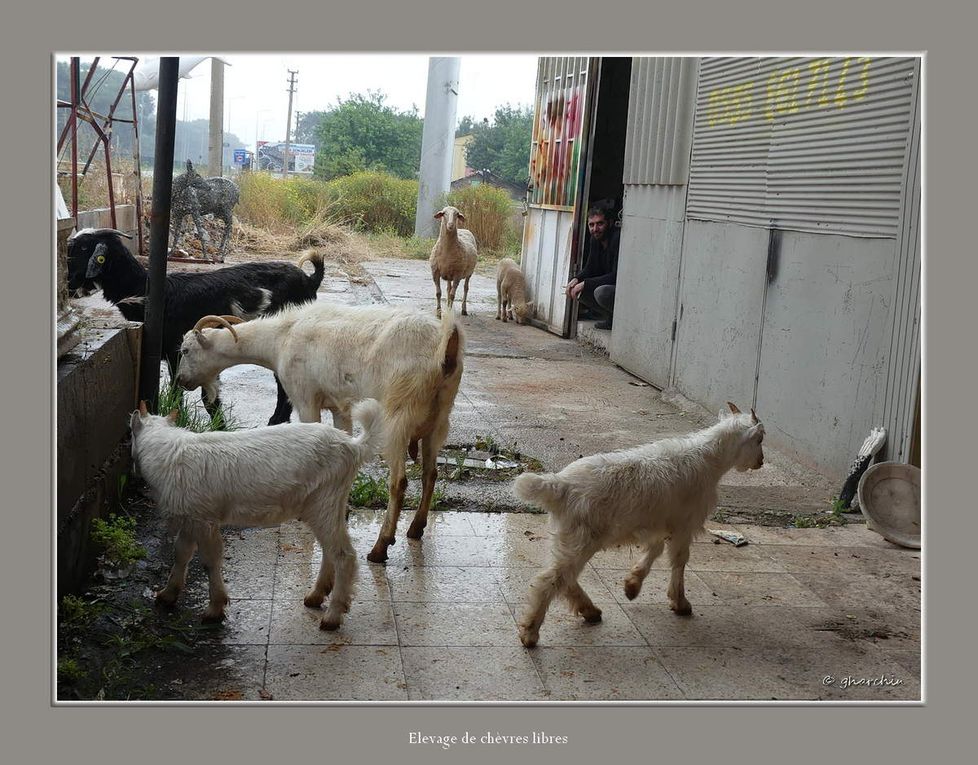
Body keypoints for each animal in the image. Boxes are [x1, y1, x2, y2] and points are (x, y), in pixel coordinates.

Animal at [66, 228, 324, 424]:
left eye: (83, 248)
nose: (68, 284)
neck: (146, 290)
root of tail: (310, 280)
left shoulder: (178, 352)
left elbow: (184, 392)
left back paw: (276, 421)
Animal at [132, 396, 384, 628]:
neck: (169, 452)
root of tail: (353, 446)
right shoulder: (191, 516)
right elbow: (181, 553)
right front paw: (167, 595)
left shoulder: (204, 519)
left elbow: (210, 560)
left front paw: (214, 608)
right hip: (328, 502)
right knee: (329, 549)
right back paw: (316, 595)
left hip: (325, 499)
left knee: (343, 554)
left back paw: (332, 616)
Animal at [173, 302, 466, 564]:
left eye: (185, 350)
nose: (180, 381)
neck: (281, 337)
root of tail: (443, 345)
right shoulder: (339, 407)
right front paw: (343, 509)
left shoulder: (305, 399)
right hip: (440, 416)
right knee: (430, 473)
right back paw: (416, 529)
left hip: (398, 414)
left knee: (399, 482)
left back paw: (380, 547)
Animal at [510, 402, 764, 648]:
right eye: (760, 439)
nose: (761, 462)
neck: (710, 460)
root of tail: (558, 485)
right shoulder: (684, 523)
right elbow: (679, 560)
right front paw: (680, 602)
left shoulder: (658, 523)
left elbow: (656, 549)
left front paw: (632, 585)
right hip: (581, 536)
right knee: (551, 579)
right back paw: (530, 633)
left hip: (566, 534)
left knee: (564, 576)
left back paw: (589, 610)